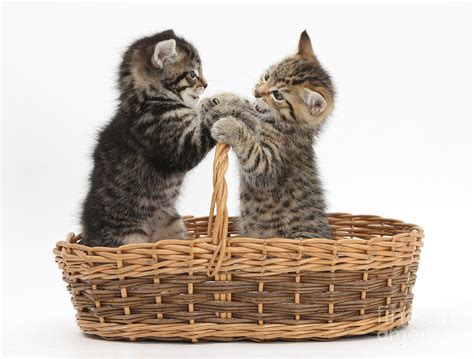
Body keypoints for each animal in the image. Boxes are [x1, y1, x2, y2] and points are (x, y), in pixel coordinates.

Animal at [81, 30, 215, 248]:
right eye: (192, 74)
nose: (206, 84)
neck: (148, 100)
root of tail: (88, 236)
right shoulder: (179, 145)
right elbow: (204, 128)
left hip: (172, 222)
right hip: (128, 238)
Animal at [203, 31, 334, 239]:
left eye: (278, 95)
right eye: (267, 76)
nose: (257, 91)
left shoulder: (269, 166)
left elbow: (250, 147)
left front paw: (228, 125)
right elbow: (249, 108)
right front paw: (219, 101)